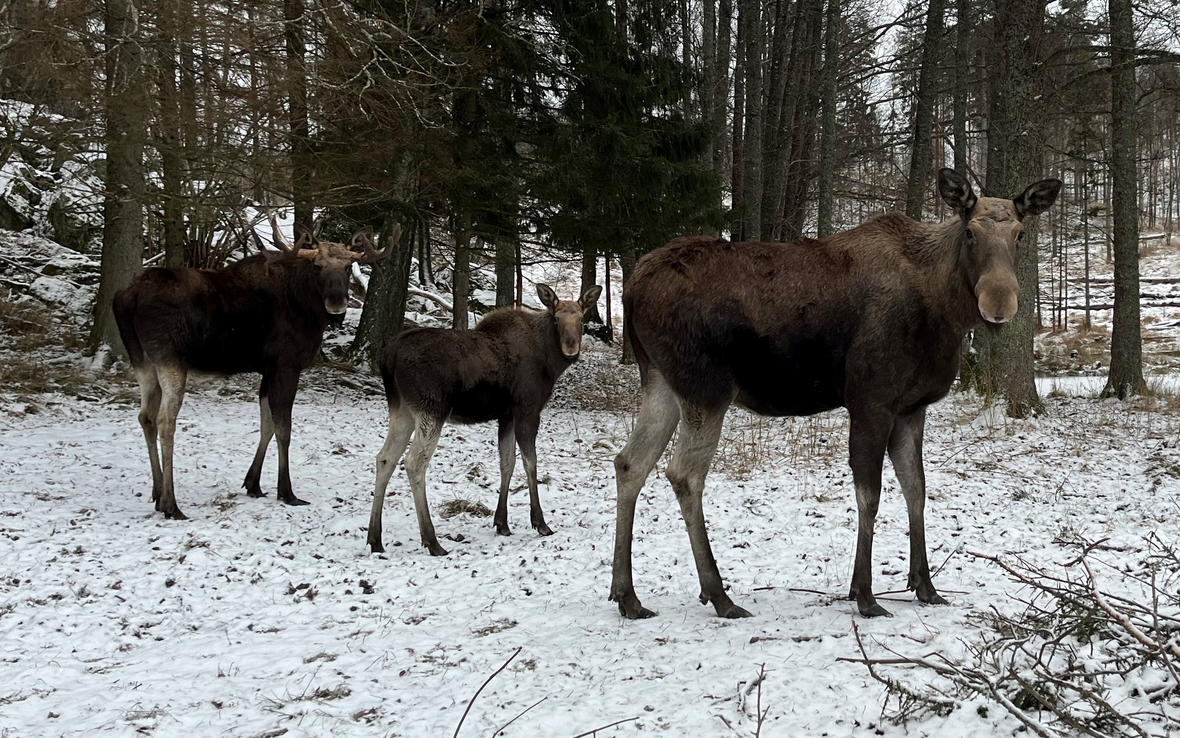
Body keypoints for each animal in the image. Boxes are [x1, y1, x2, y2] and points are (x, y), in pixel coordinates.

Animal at [115, 216, 401, 521]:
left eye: (348, 267)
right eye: (317, 266)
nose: (337, 303)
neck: (309, 309)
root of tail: (128, 296)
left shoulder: (268, 368)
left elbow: (266, 424)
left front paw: (253, 483)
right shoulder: (287, 364)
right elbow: (284, 428)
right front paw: (286, 492)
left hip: (142, 360)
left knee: (145, 416)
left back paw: (157, 494)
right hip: (170, 359)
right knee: (165, 420)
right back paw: (171, 503)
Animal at [368, 282, 604, 552]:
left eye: (581, 318)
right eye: (556, 318)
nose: (571, 349)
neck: (550, 363)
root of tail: (388, 357)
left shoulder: (507, 416)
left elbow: (507, 463)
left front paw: (502, 523)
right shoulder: (527, 409)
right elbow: (530, 463)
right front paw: (540, 523)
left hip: (402, 409)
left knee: (385, 458)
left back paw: (375, 538)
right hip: (432, 409)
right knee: (414, 461)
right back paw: (431, 540)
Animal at [613, 170, 1066, 618]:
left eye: (1021, 233)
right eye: (970, 232)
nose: (999, 302)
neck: (943, 311)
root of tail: (631, 288)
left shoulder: (911, 407)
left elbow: (916, 490)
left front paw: (925, 585)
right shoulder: (871, 399)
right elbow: (870, 495)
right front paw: (864, 594)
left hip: (661, 382)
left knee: (629, 463)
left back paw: (627, 595)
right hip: (706, 389)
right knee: (684, 474)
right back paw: (719, 595)